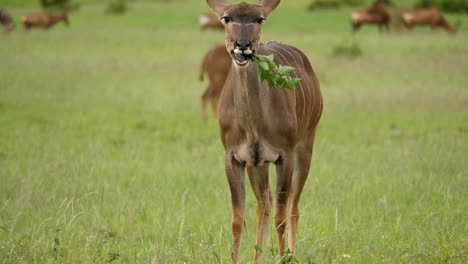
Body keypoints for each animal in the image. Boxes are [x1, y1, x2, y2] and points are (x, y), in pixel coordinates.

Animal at [207, 0, 324, 262]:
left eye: (259, 19)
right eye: (226, 18)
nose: (242, 46)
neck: (253, 127)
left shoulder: (284, 155)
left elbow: (281, 216)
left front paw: (283, 257)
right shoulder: (235, 157)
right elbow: (238, 219)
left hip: (306, 146)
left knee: (292, 207)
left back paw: (291, 254)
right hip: (257, 166)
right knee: (264, 205)